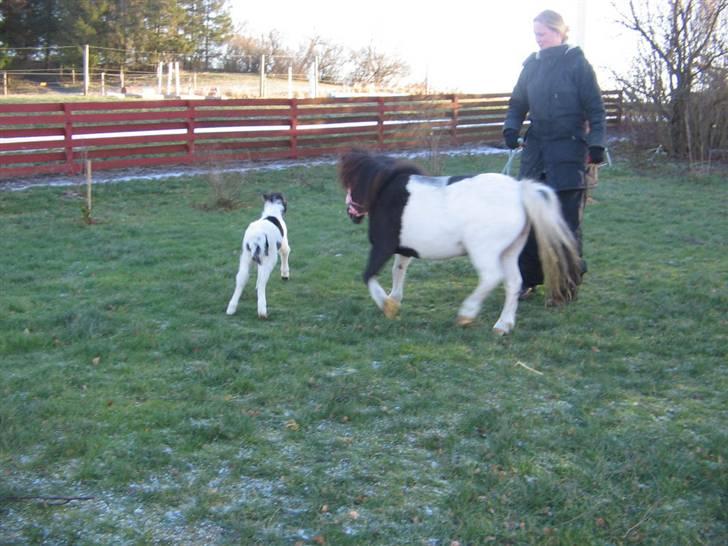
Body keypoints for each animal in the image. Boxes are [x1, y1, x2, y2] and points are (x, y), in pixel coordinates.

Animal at [338, 150, 584, 336]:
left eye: (351, 184)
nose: (350, 213)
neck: (386, 191)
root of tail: (519, 191)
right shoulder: (403, 250)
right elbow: (398, 271)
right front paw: (394, 300)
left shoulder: (383, 246)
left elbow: (369, 275)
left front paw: (386, 305)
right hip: (509, 252)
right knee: (514, 283)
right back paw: (503, 325)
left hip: (484, 251)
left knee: (491, 277)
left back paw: (467, 314)